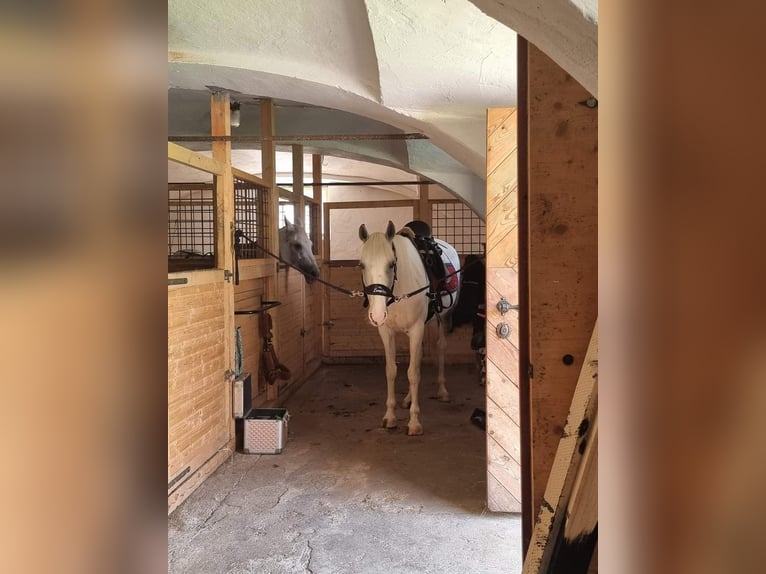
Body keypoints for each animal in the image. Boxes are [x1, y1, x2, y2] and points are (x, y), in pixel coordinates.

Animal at [360, 222, 462, 436]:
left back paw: (442, 391)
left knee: (440, 347)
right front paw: (390, 416)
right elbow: (392, 370)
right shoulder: (386, 332)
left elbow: (413, 373)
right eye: (362, 265)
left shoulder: (416, 330)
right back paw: (407, 399)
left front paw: (414, 422)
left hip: (443, 317)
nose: (377, 314)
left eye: (391, 264)